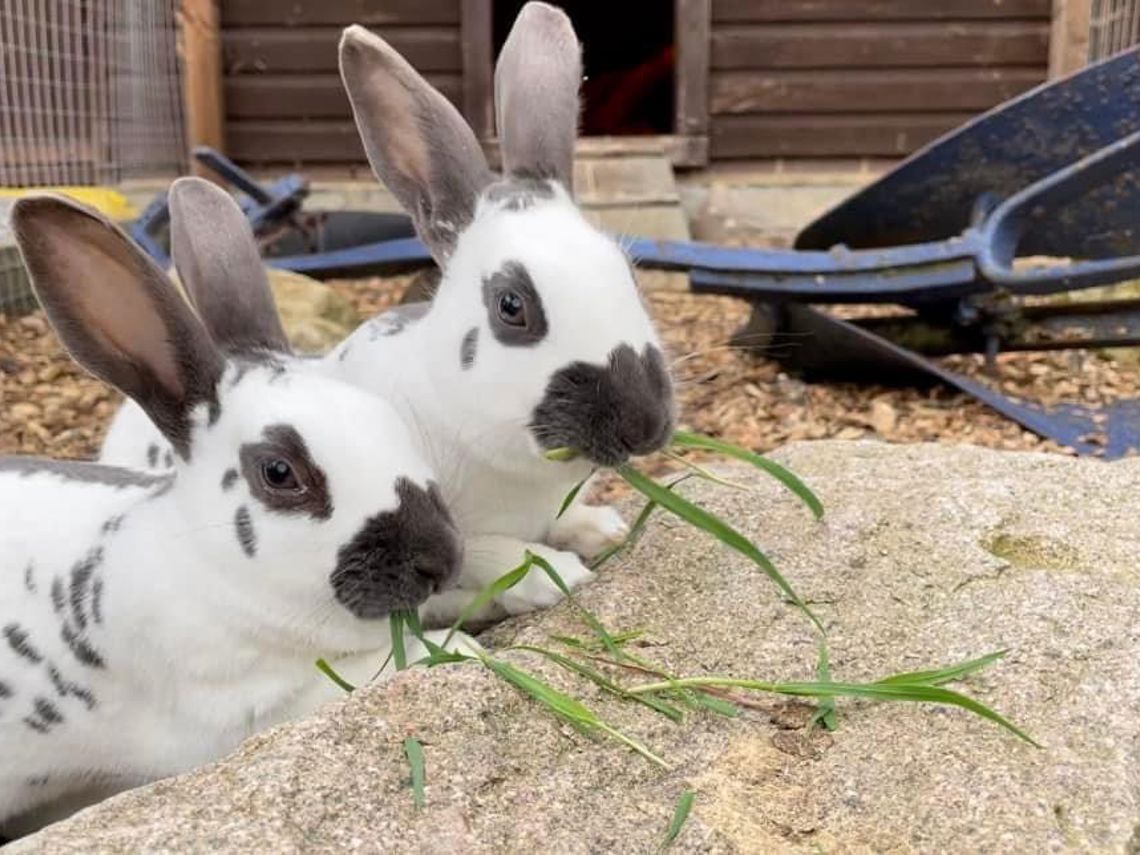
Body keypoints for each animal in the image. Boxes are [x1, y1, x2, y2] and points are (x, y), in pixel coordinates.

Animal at [0, 179, 473, 835]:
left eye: (386, 417)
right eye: (279, 472)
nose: (439, 559)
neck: (210, 571)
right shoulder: (243, 713)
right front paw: (464, 647)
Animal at [97, 2, 676, 625]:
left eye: (628, 271)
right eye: (511, 306)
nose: (645, 424)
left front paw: (603, 528)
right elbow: (486, 552)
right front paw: (554, 575)